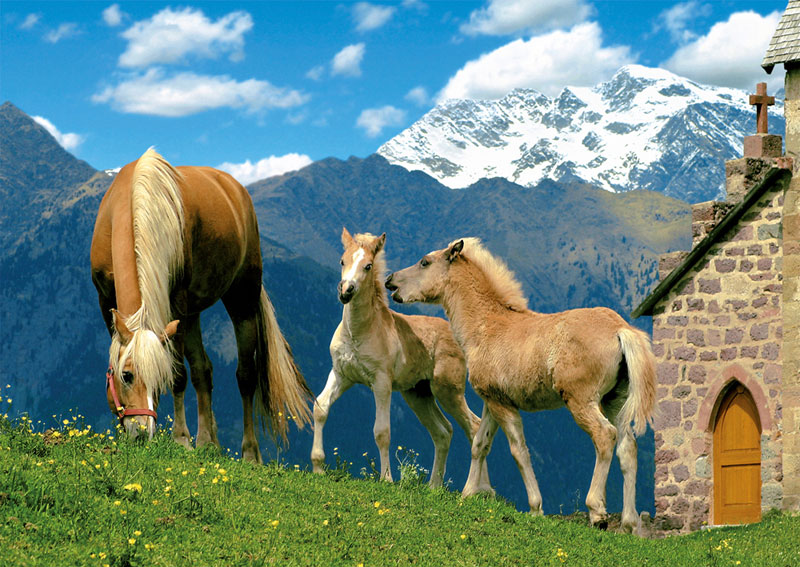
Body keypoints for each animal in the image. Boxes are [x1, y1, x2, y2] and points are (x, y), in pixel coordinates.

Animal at [90, 148, 311, 462]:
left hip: (241, 300)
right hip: (192, 314)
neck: (137, 201)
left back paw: (249, 452)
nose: (143, 434)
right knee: (203, 370)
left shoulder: (177, 303)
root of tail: (235, 188)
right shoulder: (105, 299)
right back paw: (208, 442)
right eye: (127, 375)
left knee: (245, 376)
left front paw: (181, 439)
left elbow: (179, 374)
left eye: (158, 378)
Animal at [310, 229, 491, 490]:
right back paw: (434, 486)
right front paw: (317, 467)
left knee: (474, 426)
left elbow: (382, 431)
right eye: (342, 261)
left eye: (368, 266)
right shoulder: (341, 374)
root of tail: (457, 337)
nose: (346, 291)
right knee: (443, 431)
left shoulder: (381, 382)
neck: (359, 333)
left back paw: (482, 490)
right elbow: (320, 408)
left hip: (448, 390)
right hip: (418, 394)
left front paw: (386, 478)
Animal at [385, 238, 656, 532]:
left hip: (581, 399)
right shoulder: (491, 401)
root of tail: (620, 329)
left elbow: (519, 451)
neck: (487, 326)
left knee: (605, 435)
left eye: (425, 262)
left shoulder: (503, 405)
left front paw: (535, 508)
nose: (390, 281)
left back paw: (597, 512)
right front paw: (468, 494)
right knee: (628, 447)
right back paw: (628, 522)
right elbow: (480, 443)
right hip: (614, 400)